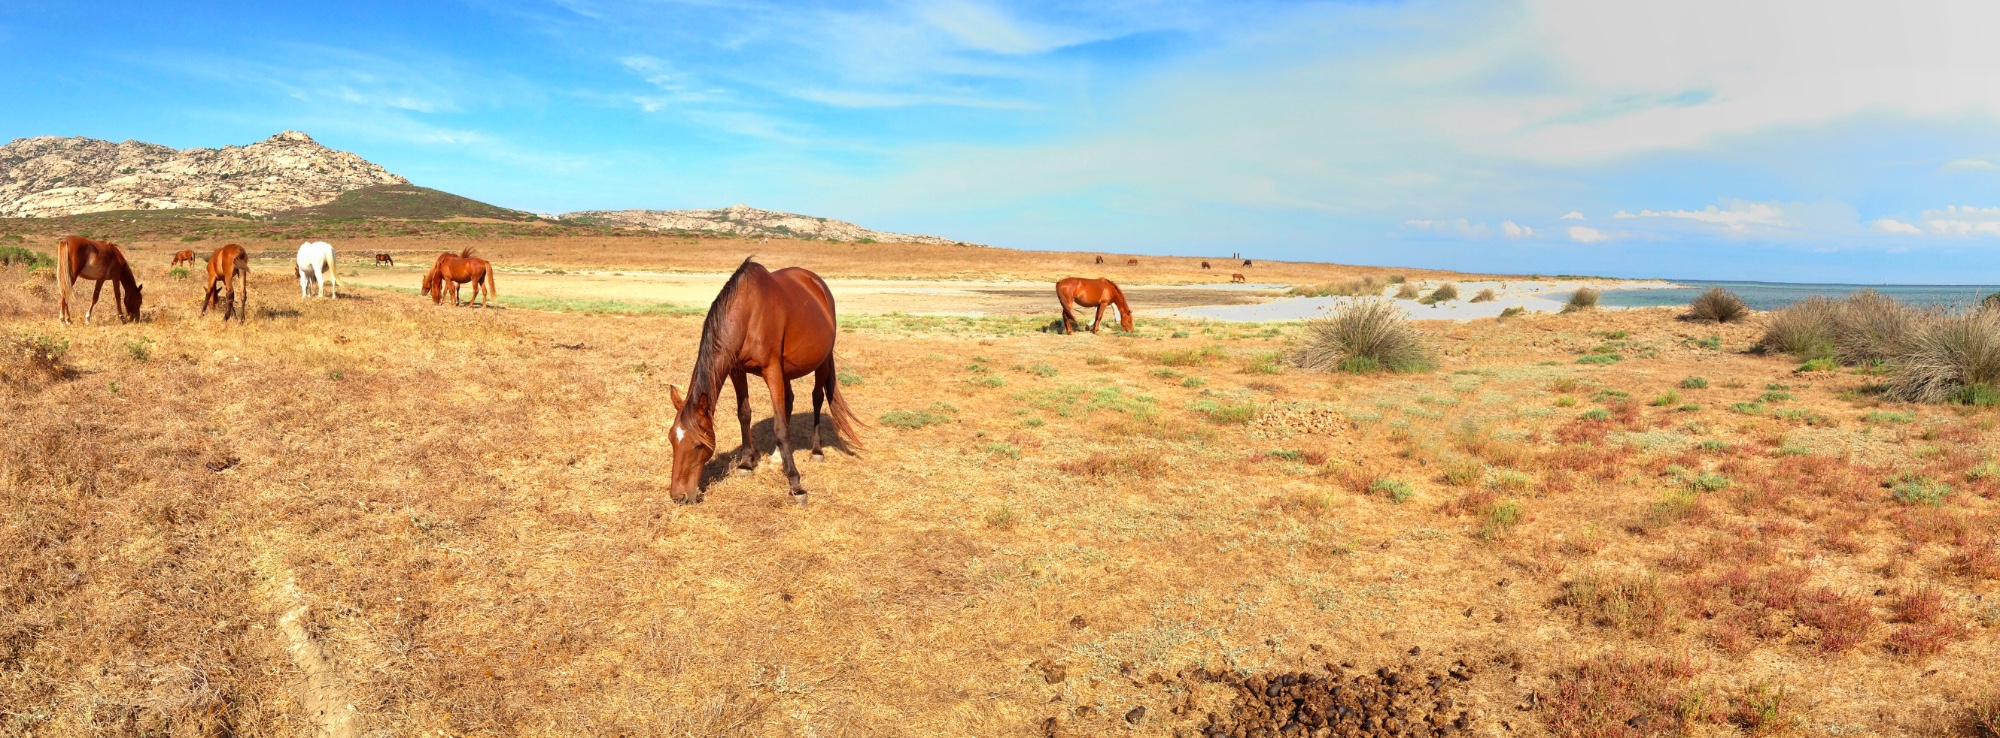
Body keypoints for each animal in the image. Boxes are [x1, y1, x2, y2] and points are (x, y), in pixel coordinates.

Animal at [668, 256, 864, 504]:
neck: (749, 312)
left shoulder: (772, 371)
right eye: (672, 440)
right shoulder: (737, 370)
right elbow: (744, 414)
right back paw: (778, 456)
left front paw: (796, 484)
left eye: (696, 445)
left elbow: (780, 427)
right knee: (789, 400)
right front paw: (746, 463)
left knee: (817, 399)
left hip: (822, 362)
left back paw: (816, 451)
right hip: (787, 370)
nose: (678, 495)